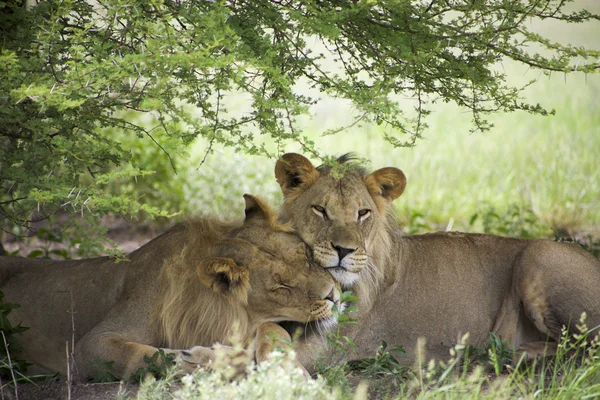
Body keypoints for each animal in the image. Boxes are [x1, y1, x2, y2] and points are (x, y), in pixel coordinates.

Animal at [0, 195, 340, 380]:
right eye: (281, 285)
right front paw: (199, 359)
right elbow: (143, 356)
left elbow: (275, 330)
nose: (334, 296)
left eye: (305, 255)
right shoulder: (88, 348)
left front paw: (287, 369)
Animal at [276, 153, 600, 366]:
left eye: (362, 213)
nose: (344, 250)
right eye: (320, 210)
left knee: (581, 349)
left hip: (540, 253)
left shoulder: (331, 347)